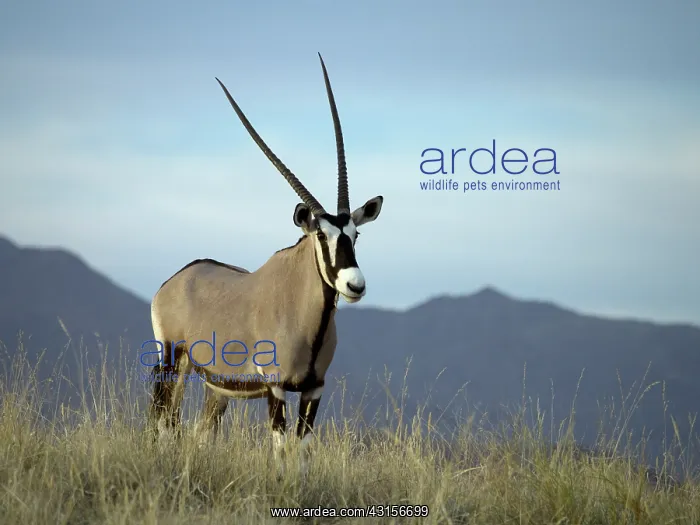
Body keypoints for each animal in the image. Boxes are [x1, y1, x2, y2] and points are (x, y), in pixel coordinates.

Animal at [147, 54, 383, 475]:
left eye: (356, 234)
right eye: (320, 235)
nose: (354, 285)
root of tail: (175, 279)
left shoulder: (314, 388)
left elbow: (301, 453)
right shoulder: (275, 388)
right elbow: (279, 452)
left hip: (216, 388)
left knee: (197, 434)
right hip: (172, 363)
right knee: (163, 423)